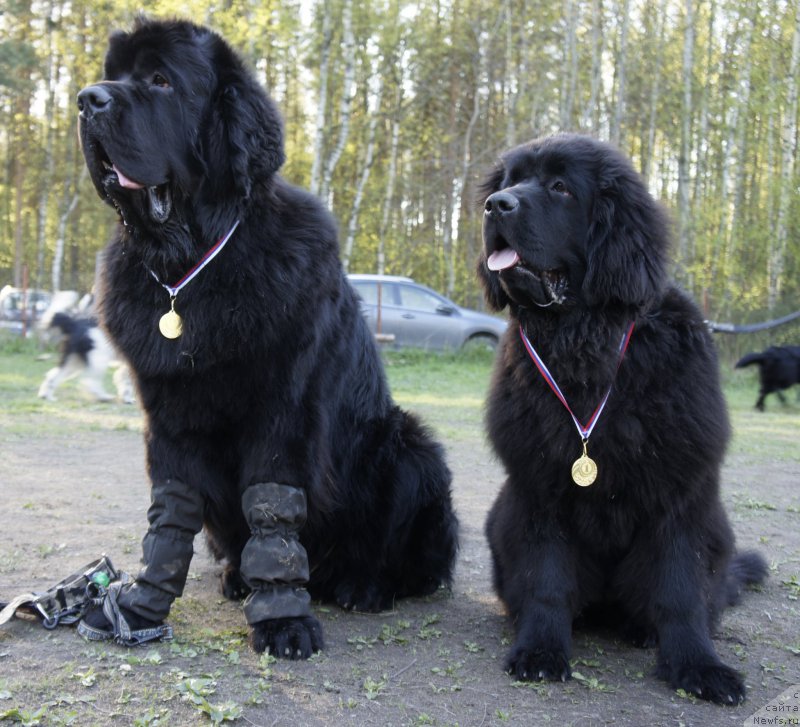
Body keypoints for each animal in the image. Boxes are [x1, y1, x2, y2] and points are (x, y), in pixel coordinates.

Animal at [79, 17, 462, 656]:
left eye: (161, 80)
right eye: (114, 75)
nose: (87, 100)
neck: (190, 265)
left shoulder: (283, 410)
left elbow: (273, 515)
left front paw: (283, 620)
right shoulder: (168, 413)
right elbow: (170, 517)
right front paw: (137, 607)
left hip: (412, 450)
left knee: (407, 559)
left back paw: (364, 586)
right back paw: (237, 577)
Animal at [478, 134, 764, 704]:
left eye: (561, 187)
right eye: (509, 182)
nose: (496, 206)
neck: (586, 343)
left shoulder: (679, 493)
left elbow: (679, 590)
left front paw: (698, 666)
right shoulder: (540, 488)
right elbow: (547, 580)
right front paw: (541, 650)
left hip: (718, 531)